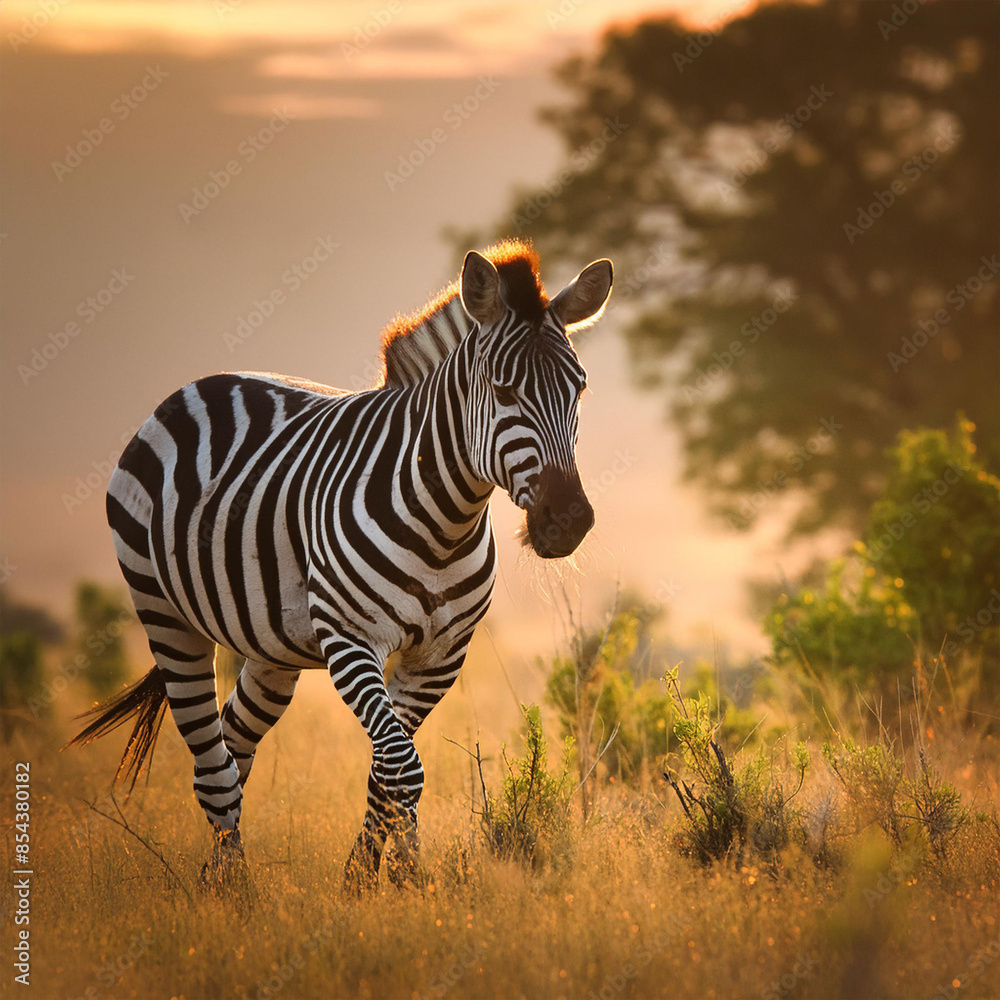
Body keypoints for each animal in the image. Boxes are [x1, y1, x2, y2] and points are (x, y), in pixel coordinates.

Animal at [72, 240, 613, 891]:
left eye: (579, 390)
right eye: (503, 391)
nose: (570, 521)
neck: (445, 522)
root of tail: (199, 385)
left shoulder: (439, 658)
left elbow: (386, 772)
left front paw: (370, 882)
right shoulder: (351, 640)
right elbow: (403, 766)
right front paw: (402, 883)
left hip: (271, 649)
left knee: (233, 744)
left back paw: (216, 879)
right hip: (165, 616)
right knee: (212, 764)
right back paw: (236, 894)